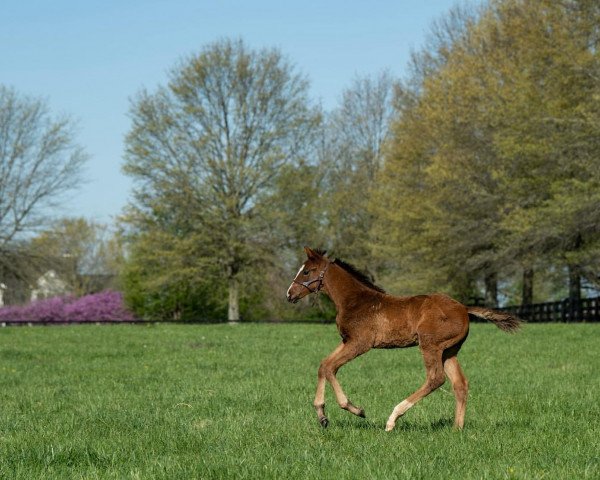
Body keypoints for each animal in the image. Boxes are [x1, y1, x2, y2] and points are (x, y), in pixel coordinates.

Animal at [286, 248, 520, 432]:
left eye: (306, 271)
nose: (289, 295)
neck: (355, 301)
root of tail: (464, 307)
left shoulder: (360, 343)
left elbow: (330, 367)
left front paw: (355, 409)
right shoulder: (347, 340)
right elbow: (324, 365)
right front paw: (322, 416)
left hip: (430, 345)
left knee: (436, 379)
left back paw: (393, 419)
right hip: (449, 350)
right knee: (460, 384)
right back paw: (457, 428)